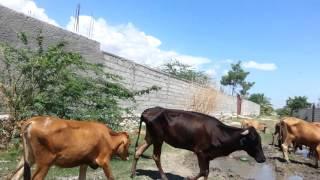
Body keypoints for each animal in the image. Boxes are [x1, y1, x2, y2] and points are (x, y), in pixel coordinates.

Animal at [130, 107, 264, 180]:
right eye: (254, 141)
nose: (263, 159)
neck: (220, 133)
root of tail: (149, 110)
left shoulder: (208, 156)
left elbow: (206, 172)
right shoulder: (200, 152)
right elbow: (203, 171)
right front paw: (189, 177)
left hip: (150, 137)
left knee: (138, 151)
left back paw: (132, 174)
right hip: (158, 138)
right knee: (156, 156)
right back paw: (164, 177)